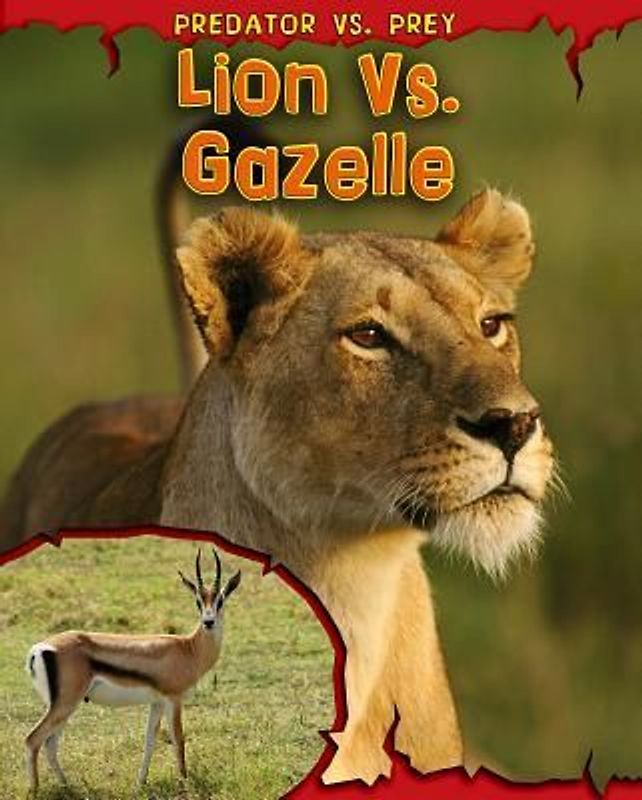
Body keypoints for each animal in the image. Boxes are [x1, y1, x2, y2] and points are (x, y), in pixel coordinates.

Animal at [24, 548, 241, 792]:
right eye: (198, 601)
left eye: (220, 600)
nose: (208, 622)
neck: (188, 649)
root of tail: (40, 648)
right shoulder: (173, 699)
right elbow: (178, 739)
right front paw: (184, 781)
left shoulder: (157, 703)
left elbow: (149, 741)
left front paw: (140, 783)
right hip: (65, 705)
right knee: (33, 739)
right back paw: (35, 790)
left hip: (62, 707)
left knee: (50, 743)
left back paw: (67, 786)